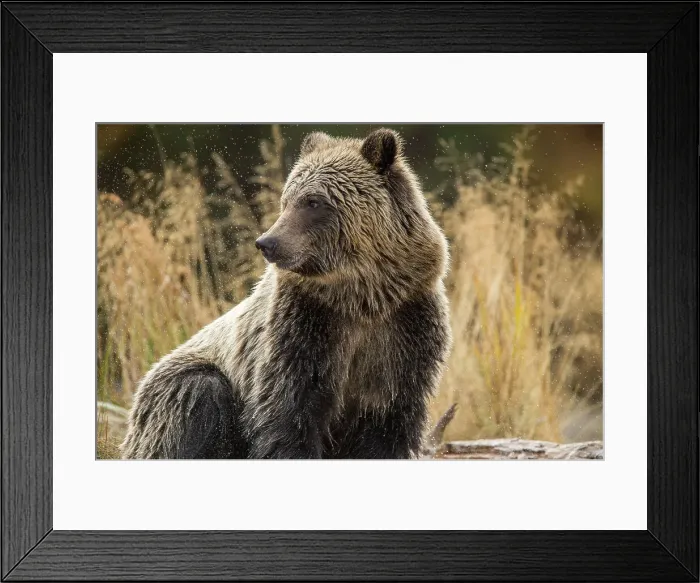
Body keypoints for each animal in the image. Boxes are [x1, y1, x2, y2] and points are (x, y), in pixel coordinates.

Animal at [120, 128, 452, 459]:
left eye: (313, 201)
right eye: (287, 199)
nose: (267, 242)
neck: (362, 297)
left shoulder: (404, 329)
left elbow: (388, 424)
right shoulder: (302, 327)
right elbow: (289, 413)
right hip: (177, 385)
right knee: (196, 396)